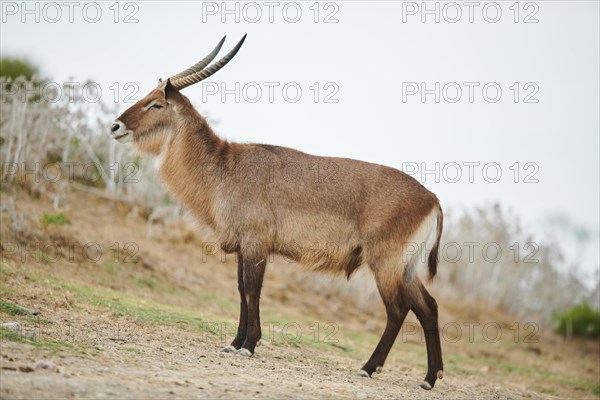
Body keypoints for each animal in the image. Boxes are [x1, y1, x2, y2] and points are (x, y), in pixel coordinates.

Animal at [109, 36, 446, 390]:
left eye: (155, 104)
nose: (115, 126)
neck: (224, 167)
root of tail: (433, 198)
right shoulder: (243, 246)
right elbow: (241, 290)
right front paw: (234, 343)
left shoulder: (256, 243)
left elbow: (252, 290)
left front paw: (248, 345)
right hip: (405, 267)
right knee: (428, 307)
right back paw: (429, 377)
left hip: (385, 263)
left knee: (398, 309)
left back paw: (369, 367)